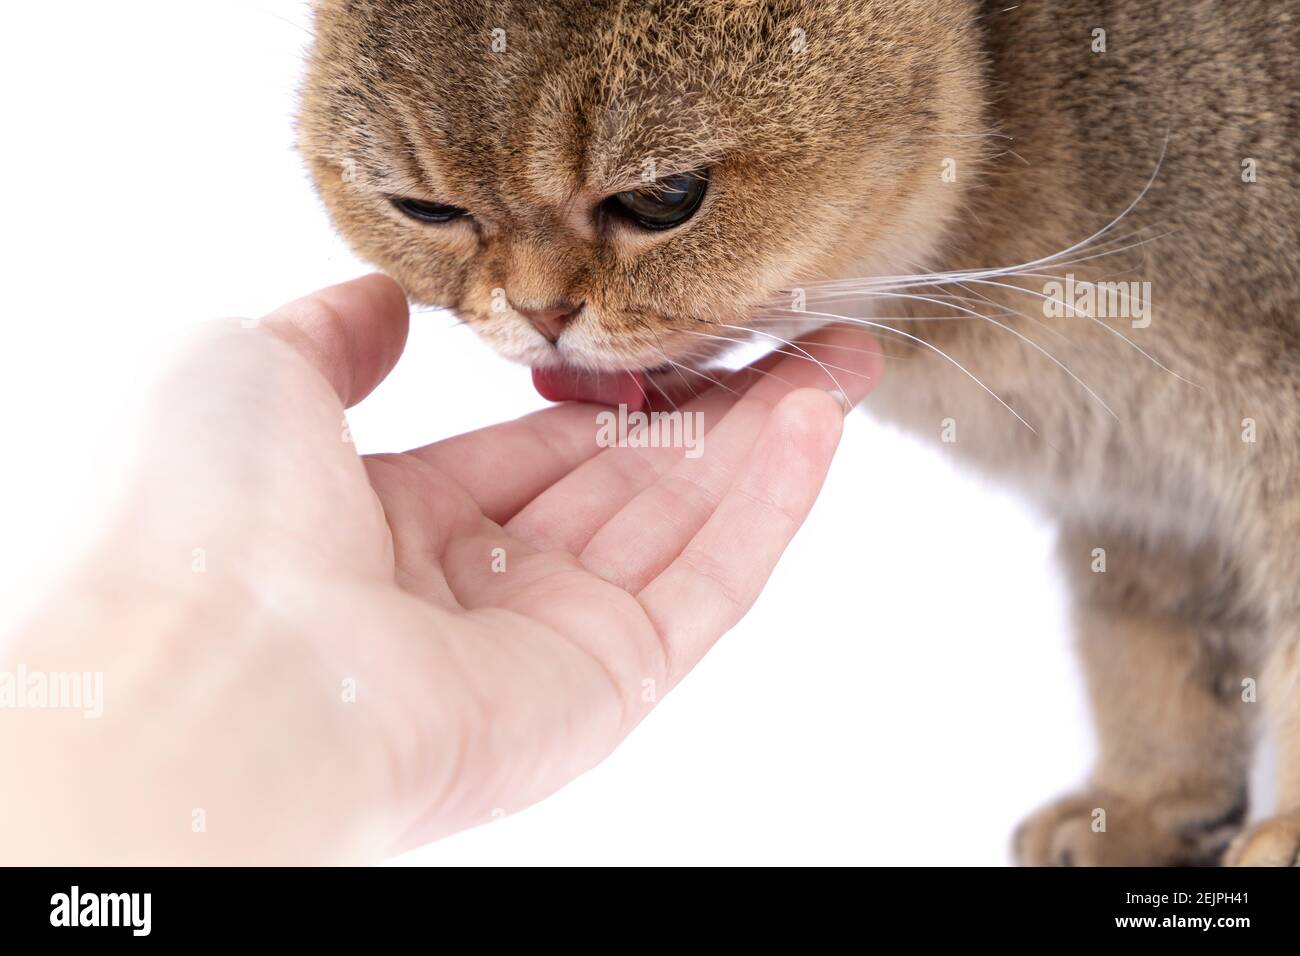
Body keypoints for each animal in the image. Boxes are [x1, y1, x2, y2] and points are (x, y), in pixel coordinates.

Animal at [295, 0, 1300, 868]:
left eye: (665, 196)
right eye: (426, 210)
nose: (540, 315)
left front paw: (1281, 835)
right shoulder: (1144, 502)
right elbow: (1152, 658)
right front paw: (1146, 807)